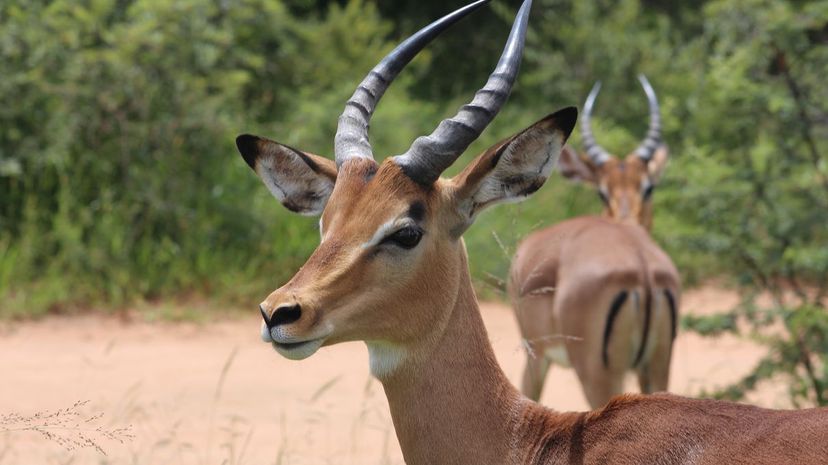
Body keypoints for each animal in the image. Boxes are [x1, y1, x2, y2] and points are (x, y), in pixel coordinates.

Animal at [509, 77, 681, 409]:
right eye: (602, 191)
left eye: (648, 187)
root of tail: (643, 268)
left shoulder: (534, 354)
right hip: (657, 366)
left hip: (598, 374)